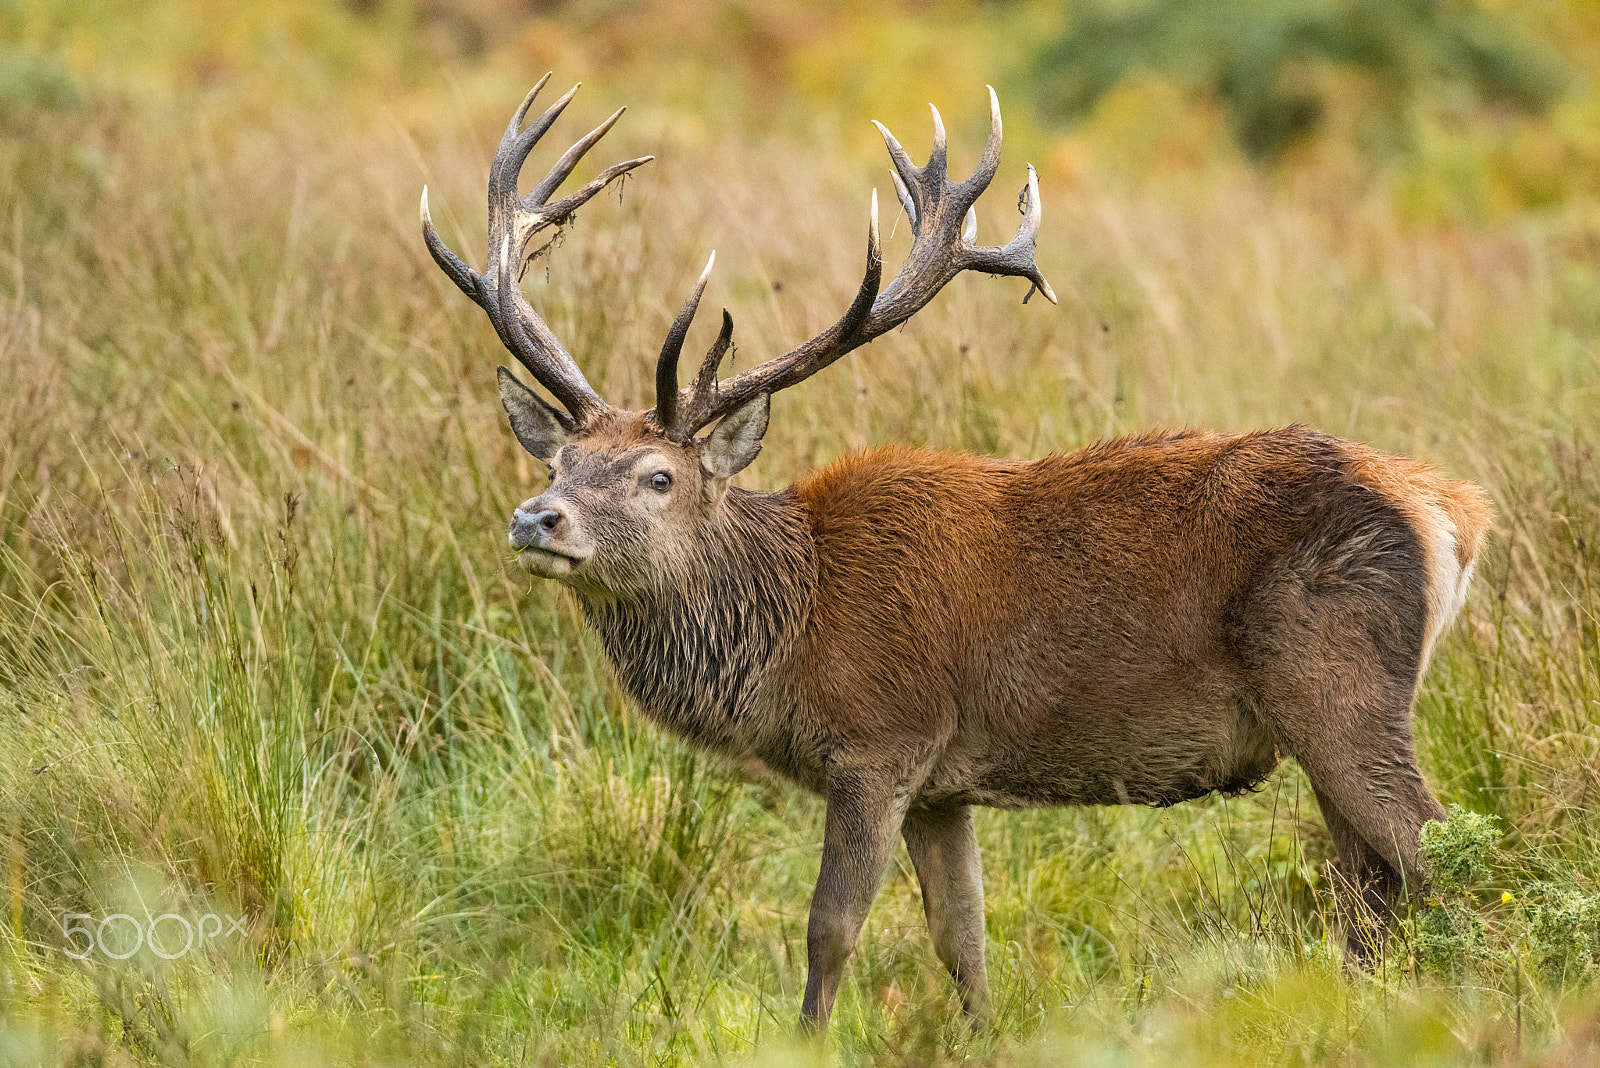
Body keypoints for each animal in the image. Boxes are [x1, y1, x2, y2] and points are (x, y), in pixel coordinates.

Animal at [419, 75, 1492, 1034]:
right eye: (560, 459)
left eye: (657, 476)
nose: (537, 519)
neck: (791, 630)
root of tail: (1452, 510)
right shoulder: (944, 781)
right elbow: (961, 939)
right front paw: (982, 1036)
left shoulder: (881, 736)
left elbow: (831, 928)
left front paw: (808, 1040)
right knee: (1371, 890)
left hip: (1336, 681)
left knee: (1438, 856)